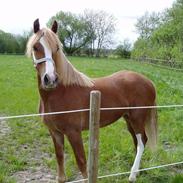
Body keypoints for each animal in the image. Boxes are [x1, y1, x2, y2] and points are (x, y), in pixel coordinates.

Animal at [26, 19, 157, 182]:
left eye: (57, 47)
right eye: (35, 47)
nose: (50, 79)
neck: (58, 93)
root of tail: (149, 82)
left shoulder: (73, 132)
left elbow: (82, 162)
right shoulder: (54, 132)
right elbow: (59, 156)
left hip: (137, 118)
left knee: (141, 142)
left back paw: (132, 175)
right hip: (128, 119)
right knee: (139, 141)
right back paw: (137, 171)